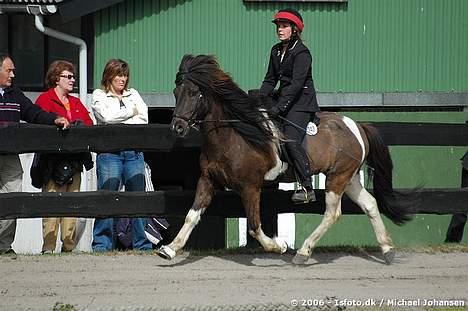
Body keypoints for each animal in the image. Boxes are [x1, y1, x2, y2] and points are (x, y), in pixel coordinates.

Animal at [157, 54, 414, 264]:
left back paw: (302, 252)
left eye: (194, 93)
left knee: (332, 213)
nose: (177, 127)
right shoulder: (208, 180)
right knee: (370, 204)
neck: (235, 136)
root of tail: (357, 126)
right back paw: (387, 250)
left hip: (337, 178)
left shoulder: (250, 186)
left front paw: (279, 245)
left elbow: (254, 226)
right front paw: (169, 249)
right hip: (349, 178)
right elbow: (192, 216)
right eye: (176, 93)